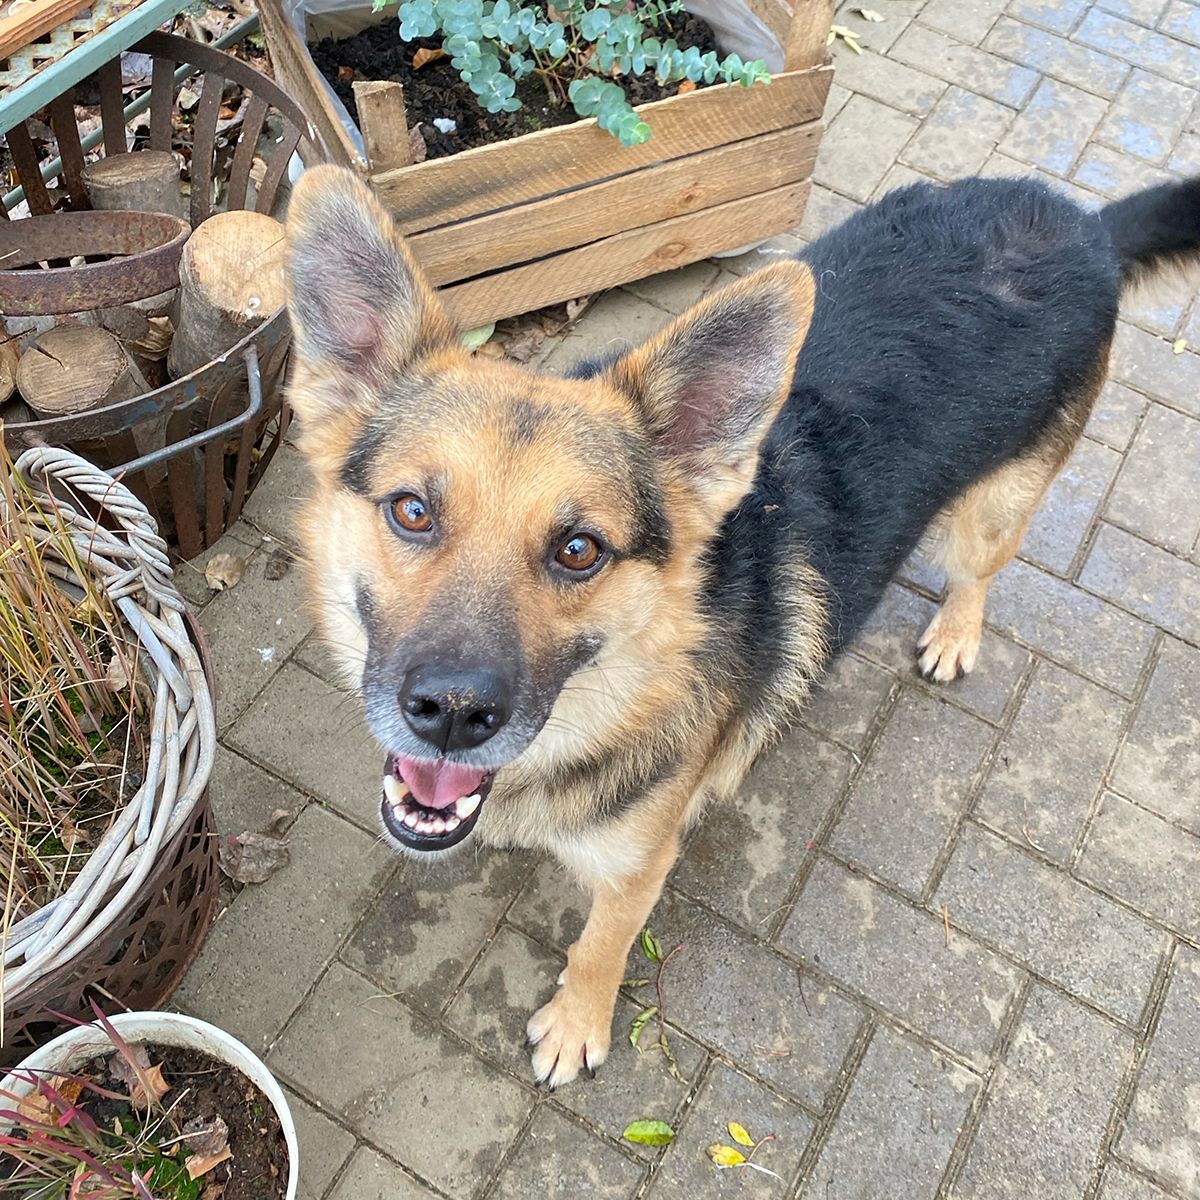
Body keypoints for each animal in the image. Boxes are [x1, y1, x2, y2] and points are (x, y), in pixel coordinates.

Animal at [283, 163, 1200, 1088]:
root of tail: (1076, 218)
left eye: (579, 551)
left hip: (990, 513)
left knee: (979, 573)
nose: (452, 716)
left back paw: (955, 634)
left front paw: (578, 1023)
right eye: (412, 511)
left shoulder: (637, 867)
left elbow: (600, 946)